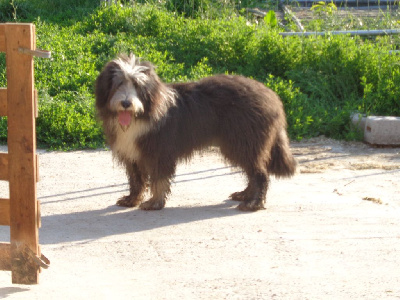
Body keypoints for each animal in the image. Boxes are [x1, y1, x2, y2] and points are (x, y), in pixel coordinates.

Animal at [95, 54, 296, 211]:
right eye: (119, 84)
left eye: (137, 86)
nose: (126, 103)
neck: (141, 115)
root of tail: (273, 98)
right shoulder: (132, 154)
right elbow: (136, 180)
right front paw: (132, 199)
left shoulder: (160, 152)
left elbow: (159, 180)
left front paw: (154, 202)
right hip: (239, 144)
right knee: (253, 172)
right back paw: (245, 195)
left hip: (245, 142)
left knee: (260, 174)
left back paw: (253, 203)